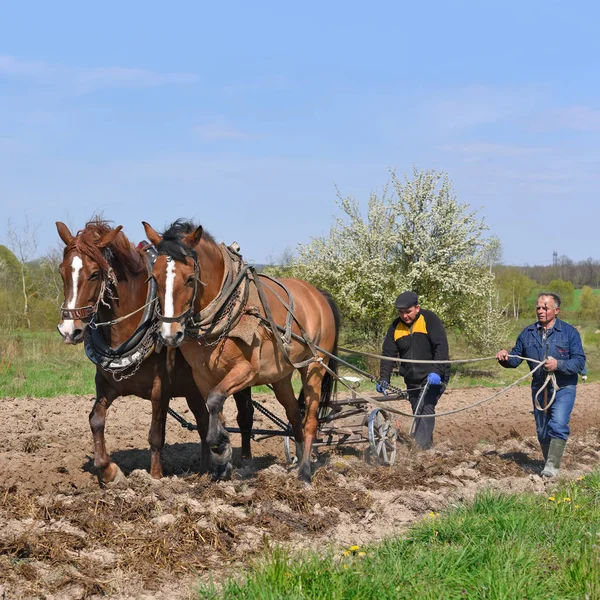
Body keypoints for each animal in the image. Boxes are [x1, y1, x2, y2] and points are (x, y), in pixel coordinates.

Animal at [55, 219, 254, 482]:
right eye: (62, 271)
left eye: (94, 274)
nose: (69, 330)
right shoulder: (105, 384)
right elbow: (95, 420)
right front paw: (108, 471)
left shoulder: (161, 389)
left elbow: (156, 435)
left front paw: (155, 477)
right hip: (193, 388)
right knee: (203, 423)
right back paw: (203, 470)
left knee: (245, 417)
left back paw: (246, 461)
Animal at [140, 220, 338, 482]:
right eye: (154, 277)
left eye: (191, 278)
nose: (170, 334)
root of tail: (318, 295)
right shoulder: (202, 375)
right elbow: (214, 407)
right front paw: (222, 464)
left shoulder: (246, 370)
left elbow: (215, 400)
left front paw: (220, 444)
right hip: (281, 377)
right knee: (295, 415)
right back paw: (295, 461)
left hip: (315, 367)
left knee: (311, 419)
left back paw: (305, 471)